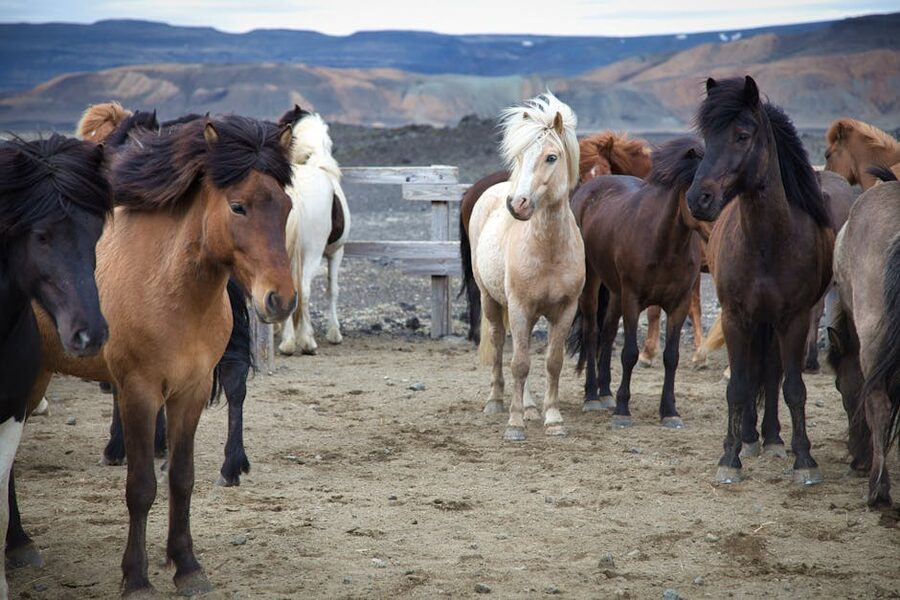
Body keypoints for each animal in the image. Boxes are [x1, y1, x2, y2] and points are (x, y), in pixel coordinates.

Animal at [22, 115, 296, 596]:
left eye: (286, 206)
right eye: (238, 207)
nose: (280, 299)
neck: (169, 286)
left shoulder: (191, 391)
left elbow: (181, 479)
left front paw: (187, 566)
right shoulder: (139, 391)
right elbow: (141, 486)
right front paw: (136, 576)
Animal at [275, 105, 351, 356]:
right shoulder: (337, 252)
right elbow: (332, 290)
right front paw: (334, 333)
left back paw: (288, 342)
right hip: (313, 254)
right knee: (304, 291)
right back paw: (306, 342)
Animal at [467, 92, 584, 441]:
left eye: (551, 157)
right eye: (519, 157)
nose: (516, 204)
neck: (548, 251)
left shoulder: (565, 310)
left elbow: (553, 362)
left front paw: (553, 419)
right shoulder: (519, 307)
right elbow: (518, 363)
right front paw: (515, 423)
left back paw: (532, 407)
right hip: (491, 301)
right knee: (498, 344)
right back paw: (496, 401)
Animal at [567, 136, 704, 427]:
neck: (665, 244)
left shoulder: (679, 303)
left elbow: (672, 357)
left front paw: (669, 411)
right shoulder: (632, 299)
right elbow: (629, 353)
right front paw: (622, 410)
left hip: (615, 292)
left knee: (607, 333)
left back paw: (605, 393)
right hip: (593, 284)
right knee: (592, 332)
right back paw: (592, 396)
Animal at [686, 76, 834, 486]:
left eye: (742, 135)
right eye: (707, 135)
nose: (698, 198)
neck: (767, 243)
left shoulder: (794, 319)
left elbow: (792, 387)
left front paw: (804, 459)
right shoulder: (736, 317)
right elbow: (738, 385)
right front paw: (729, 456)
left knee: (770, 373)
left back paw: (772, 438)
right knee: (754, 372)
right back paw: (750, 437)